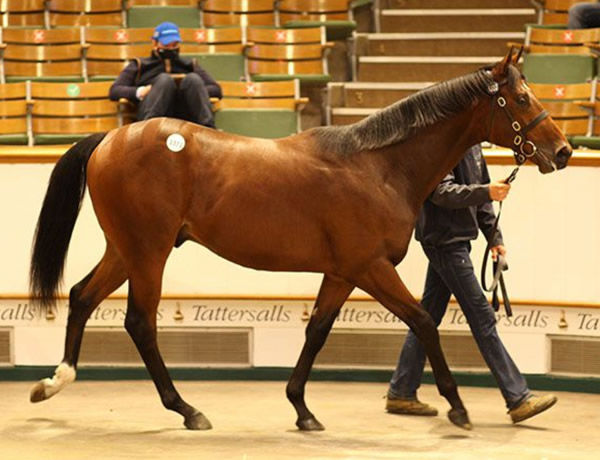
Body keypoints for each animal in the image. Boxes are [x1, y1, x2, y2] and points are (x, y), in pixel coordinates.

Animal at [29, 50, 572, 432]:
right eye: (521, 99)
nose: (563, 150)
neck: (378, 166)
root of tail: (109, 138)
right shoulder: (370, 268)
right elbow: (422, 322)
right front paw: (457, 406)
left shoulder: (340, 272)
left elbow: (317, 332)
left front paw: (302, 409)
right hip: (149, 253)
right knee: (140, 322)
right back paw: (186, 409)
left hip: (127, 250)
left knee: (81, 296)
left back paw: (54, 382)